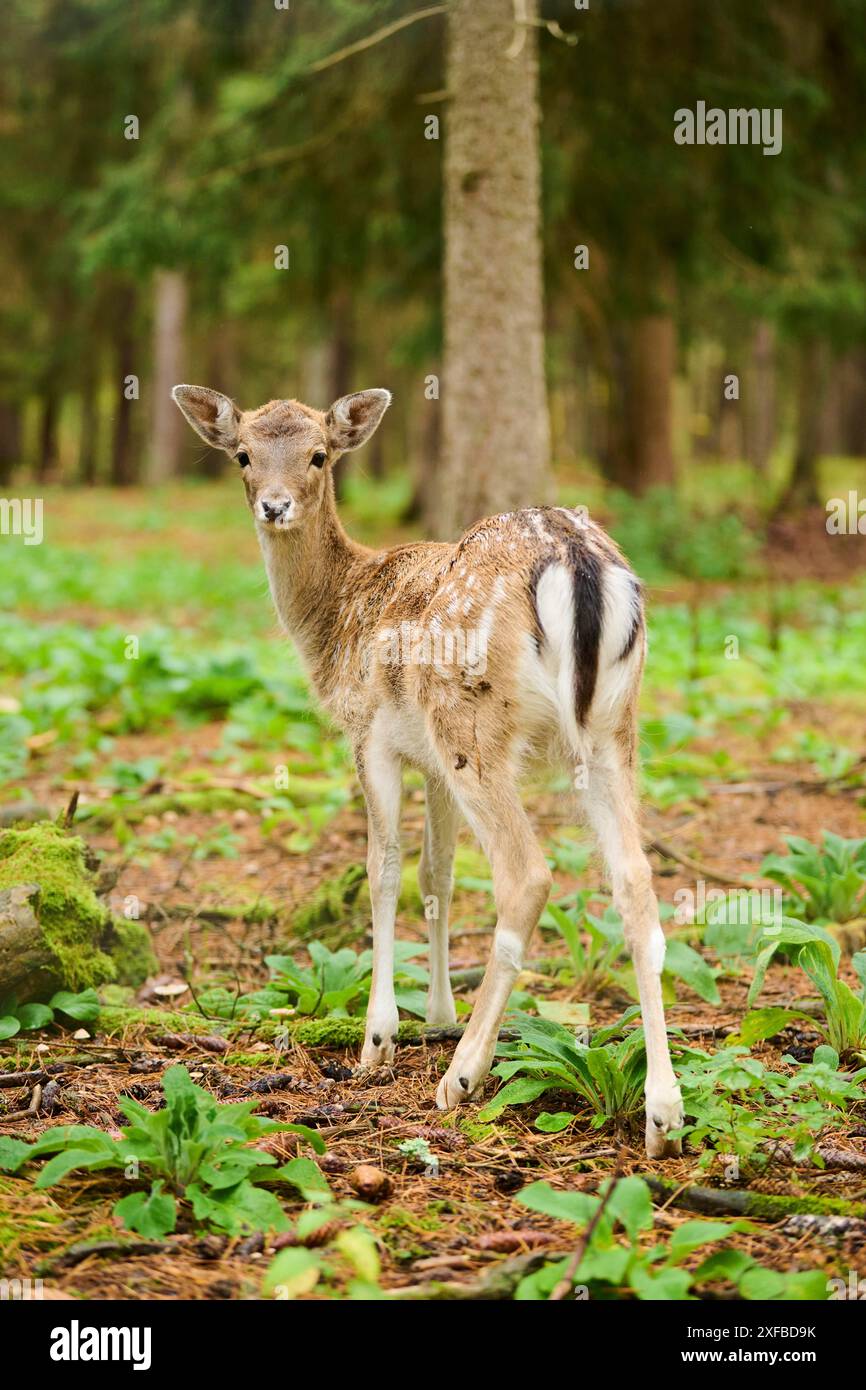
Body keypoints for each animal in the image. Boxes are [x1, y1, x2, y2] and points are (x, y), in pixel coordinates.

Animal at [172, 383, 684, 1157]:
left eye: (318, 454)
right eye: (243, 454)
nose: (275, 505)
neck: (335, 620)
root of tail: (573, 559)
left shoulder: (371, 735)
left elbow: (382, 869)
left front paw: (378, 1040)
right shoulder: (431, 766)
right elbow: (435, 877)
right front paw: (436, 1014)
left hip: (470, 722)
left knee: (527, 875)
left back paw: (462, 1076)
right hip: (611, 727)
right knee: (636, 881)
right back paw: (664, 1114)